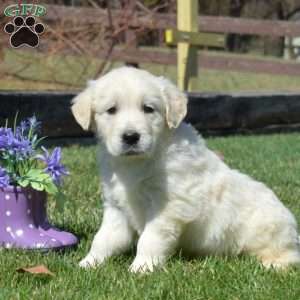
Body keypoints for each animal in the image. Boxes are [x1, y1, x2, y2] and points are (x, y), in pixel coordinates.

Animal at [72, 67, 300, 274]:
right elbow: (104, 238)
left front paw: (142, 267)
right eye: (111, 110)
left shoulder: (168, 205)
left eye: (148, 108)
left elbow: (149, 238)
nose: (131, 137)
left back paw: (272, 265)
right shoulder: (116, 207)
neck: (137, 162)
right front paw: (88, 264)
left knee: (289, 256)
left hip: (268, 230)